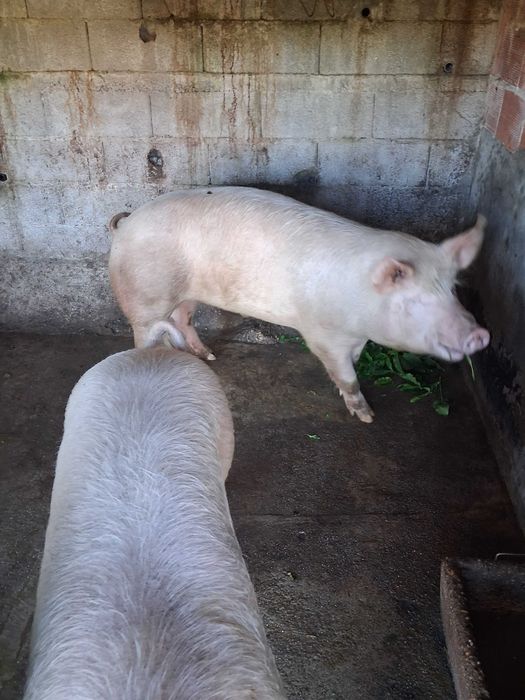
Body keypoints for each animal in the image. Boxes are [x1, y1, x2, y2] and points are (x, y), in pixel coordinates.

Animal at [109, 187, 490, 423]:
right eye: (416, 300)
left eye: (452, 291)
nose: (481, 335)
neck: (359, 303)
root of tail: (125, 224)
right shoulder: (322, 334)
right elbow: (346, 375)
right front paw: (367, 417)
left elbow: (353, 362)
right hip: (143, 296)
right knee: (145, 332)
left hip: (188, 292)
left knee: (184, 319)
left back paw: (209, 357)